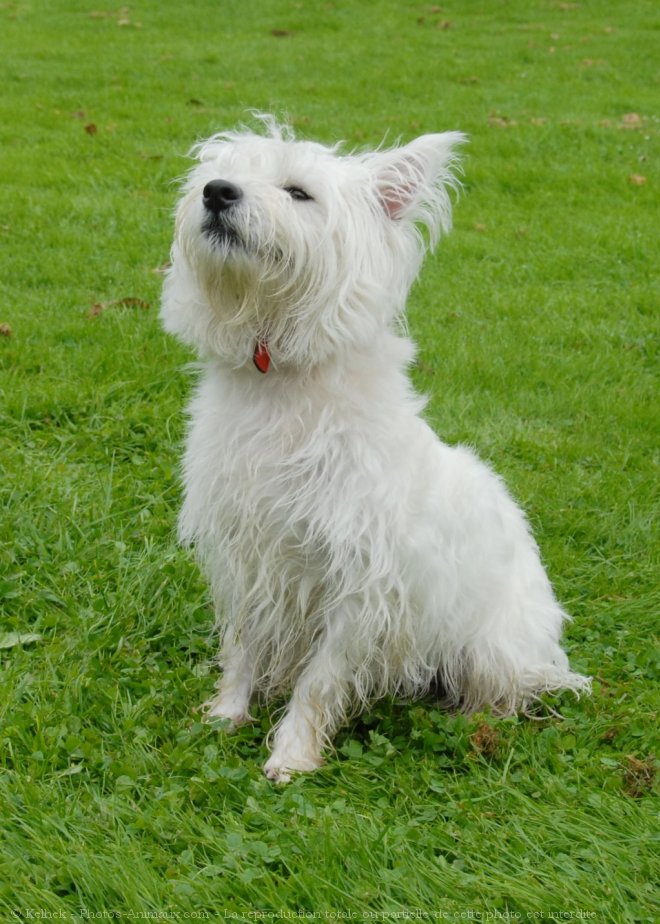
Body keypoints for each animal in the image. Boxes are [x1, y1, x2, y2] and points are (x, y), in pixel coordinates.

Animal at [161, 113, 592, 780]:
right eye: (221, 173)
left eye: (299, 193)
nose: (216, 193)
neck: (282, 386)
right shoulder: (249, 555)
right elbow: (242, 646)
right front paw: (227, 713)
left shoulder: (361, 582)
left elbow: (319, 680)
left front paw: (291, 756)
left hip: (491, 647)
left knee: (509, 691)